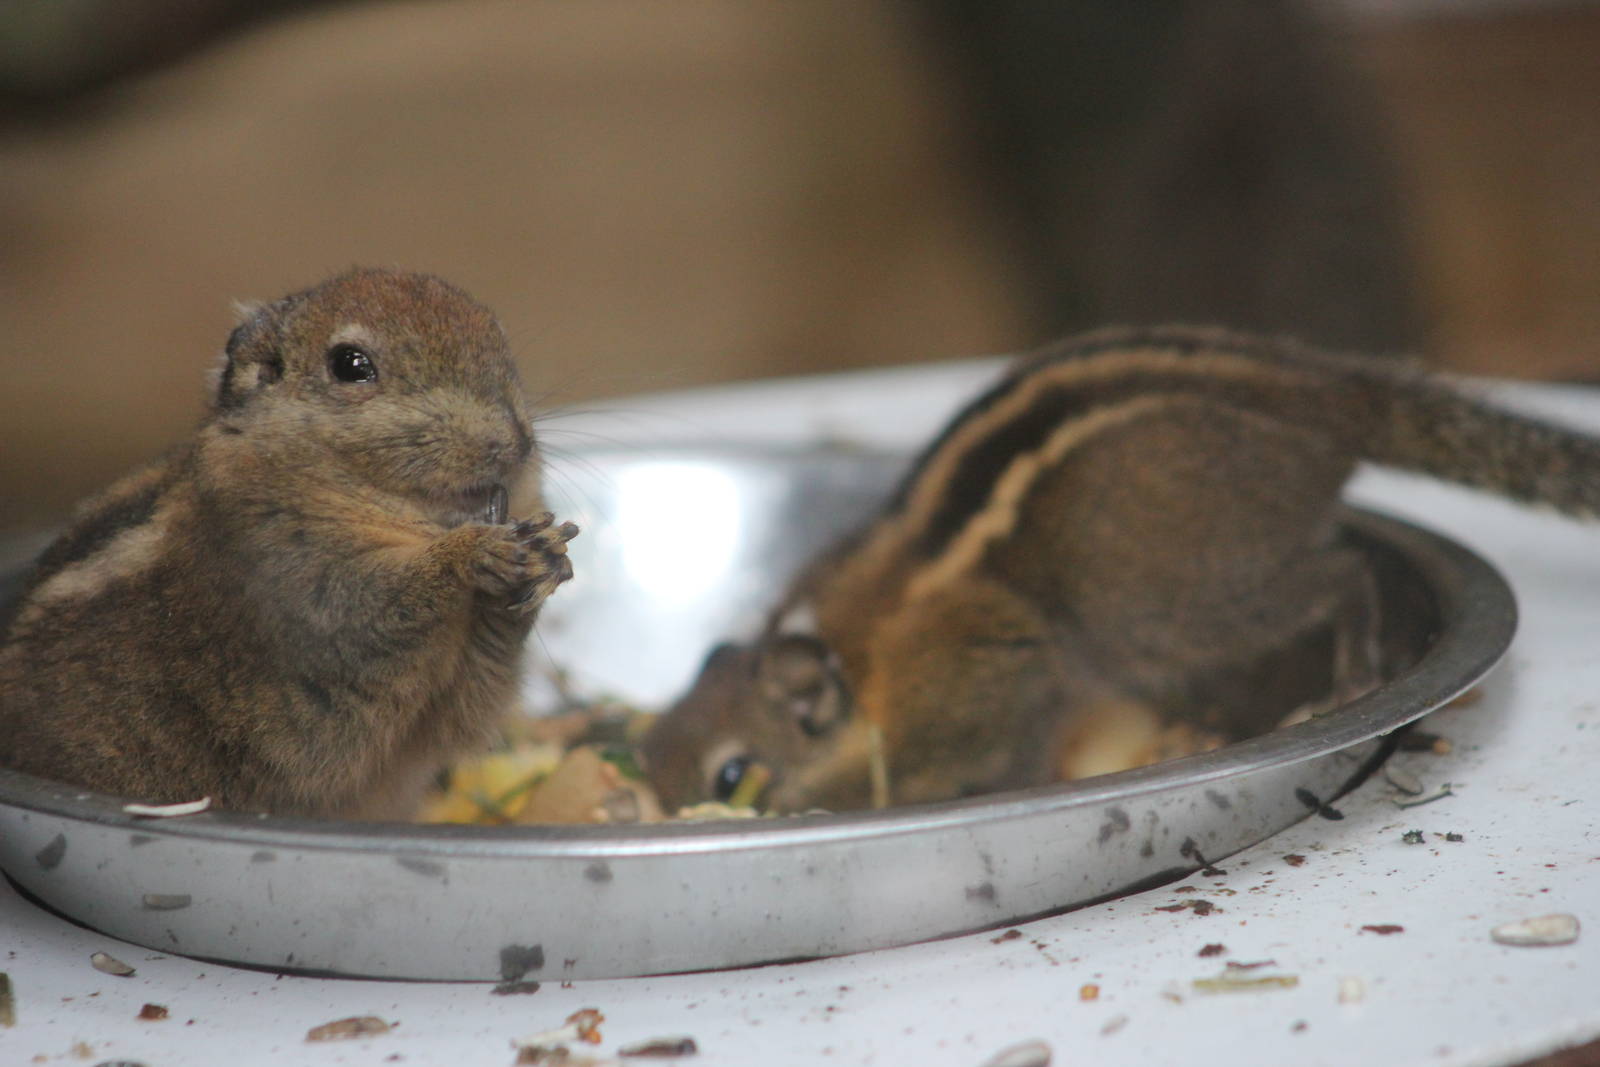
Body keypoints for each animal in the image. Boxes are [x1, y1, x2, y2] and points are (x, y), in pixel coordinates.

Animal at [0, 268, 578, 819]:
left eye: (496, 332)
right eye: (350, 364)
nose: (513, 443)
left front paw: (547, 554)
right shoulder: (293, 576)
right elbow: (371, 608)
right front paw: (475, 552)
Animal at [641, 325, 1600, 815]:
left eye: (731, 774)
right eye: (653, 744)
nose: (667, 806)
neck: (858, 659)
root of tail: (1323, 398)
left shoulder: (998, 683)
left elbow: (1022, 744)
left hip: (1171, 606)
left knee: (1342, 571)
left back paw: (1354, 668)